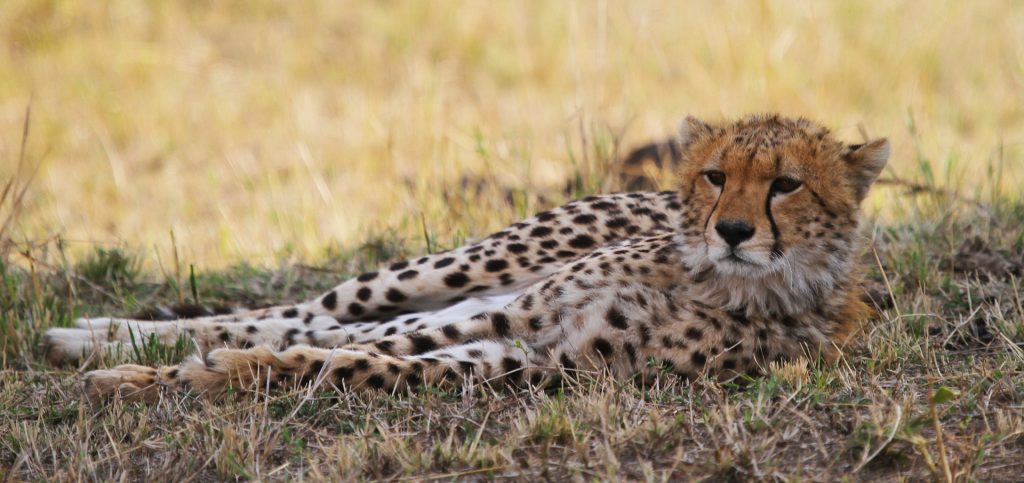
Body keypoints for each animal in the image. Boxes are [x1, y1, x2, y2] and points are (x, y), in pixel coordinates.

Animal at [44, 114, 888, 403]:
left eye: (786, 184)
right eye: (716, 175)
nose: (735, 230)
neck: (715, 283)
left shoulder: (536, 357)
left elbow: (346, 362)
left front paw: (207, 375)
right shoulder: (518, 313)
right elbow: (325, 343)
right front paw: (145, 372)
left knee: (318, 327)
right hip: (469, 268)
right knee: (310, 309)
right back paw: (94, 335)